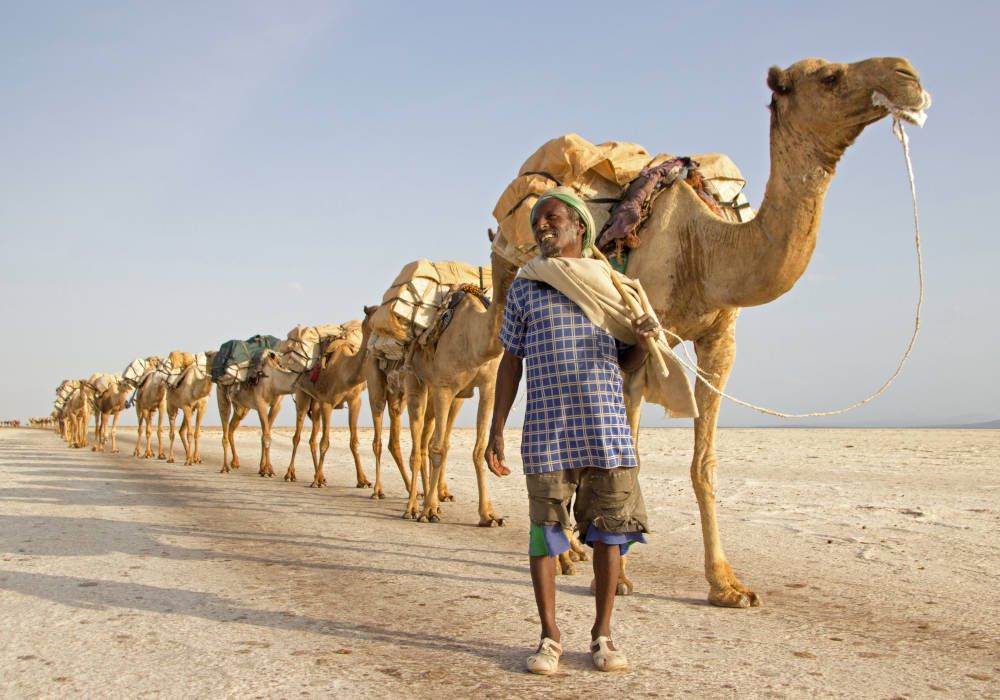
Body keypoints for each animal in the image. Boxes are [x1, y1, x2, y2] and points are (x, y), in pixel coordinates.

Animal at [492, 57, 928, 604]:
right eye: (829, 76)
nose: (907, 75)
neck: (703, 246)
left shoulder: (719, 340)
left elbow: (704, 465)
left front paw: (727, 584)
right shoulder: (635, 340)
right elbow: (628, 454)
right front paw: (620, 575)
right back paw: (570, 553)